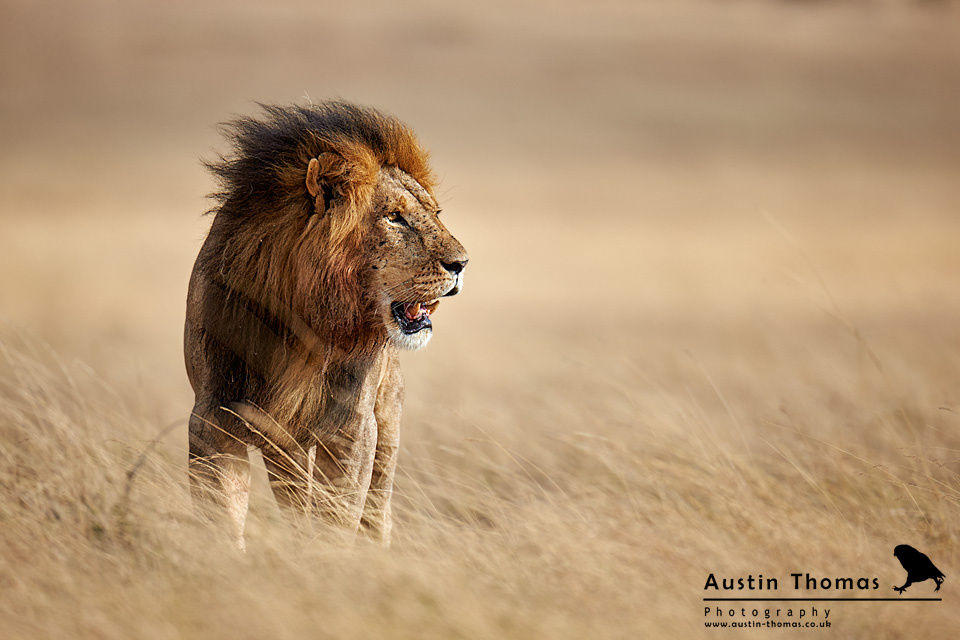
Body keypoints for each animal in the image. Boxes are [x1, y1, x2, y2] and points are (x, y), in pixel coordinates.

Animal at [185, 102, 468, 548]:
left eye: (436, 215)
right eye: (394, 218)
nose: (462, 264)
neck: (301, 319)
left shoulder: (351, 425)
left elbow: (337, 516)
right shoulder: (214, 414)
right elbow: (222, 516)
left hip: (386, 422)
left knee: (376, 507)